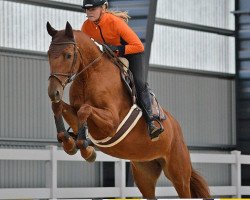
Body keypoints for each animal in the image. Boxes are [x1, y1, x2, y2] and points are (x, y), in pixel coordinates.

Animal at [46, 21, 210, 198]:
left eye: (68, 55)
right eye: (48, 54)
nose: (53, 92)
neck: (89, 75)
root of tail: (177, 129)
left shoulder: (111, 123)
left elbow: (85, 109)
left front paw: (86, 149)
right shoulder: (76, 117)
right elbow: (58, 107)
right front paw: (68, 141)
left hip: (178, 173)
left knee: (183, 188)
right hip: (144, 172)